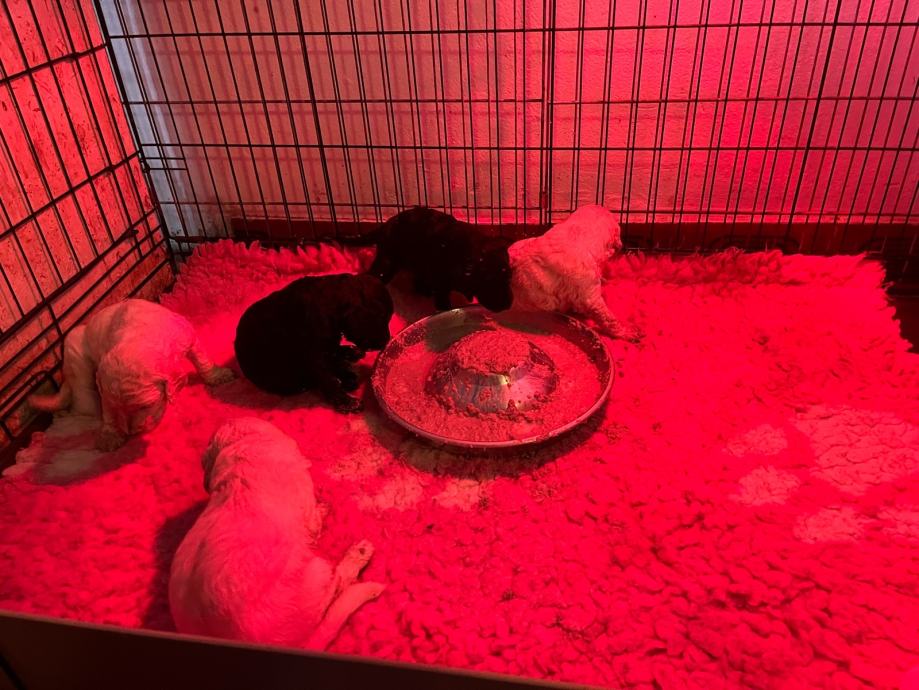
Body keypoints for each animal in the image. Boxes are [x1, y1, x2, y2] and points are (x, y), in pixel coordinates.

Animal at [29, 299, 234, 451]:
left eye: (145, 406)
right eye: (118, 407)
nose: (131, 432)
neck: (138, 338)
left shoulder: (186, 334)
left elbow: (201, 358)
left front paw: (217, 376)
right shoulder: (105, 390)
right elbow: (108, 411)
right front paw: (109, 436)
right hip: (78, 364)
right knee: (81, 407)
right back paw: (57, 420)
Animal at [169, 418, 384, 650]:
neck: (245, 444)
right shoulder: (308, 512)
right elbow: (316, 521)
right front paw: (324, 508)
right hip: (316, 572)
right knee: (337, 584)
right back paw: (360, 553)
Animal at [367, 206, 514, 313]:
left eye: (508, 279)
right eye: (488, 282)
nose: (507, 305)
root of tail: (383, 226)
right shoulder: (440, 283)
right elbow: (442, 301)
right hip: (387, 262)